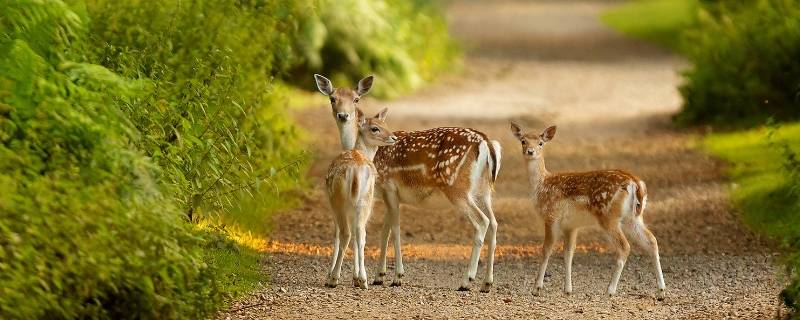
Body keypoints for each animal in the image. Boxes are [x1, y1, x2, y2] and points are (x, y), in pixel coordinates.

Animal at [324, 106, 396, 288]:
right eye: (375, 128)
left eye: (386, 124)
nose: (394, 137)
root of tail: (355, 172)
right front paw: (355, 277)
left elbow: (336, 236)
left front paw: (333, 276)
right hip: (365, 201)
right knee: (360, 234)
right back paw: (363, 280)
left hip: (339, 201)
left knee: (346, 233)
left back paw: (334, 278)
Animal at [510, 120, 664, 298]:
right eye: (523, 141)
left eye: (541, 143)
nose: (530, 151)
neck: (541, 186)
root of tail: (635, 183)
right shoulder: (571, 226)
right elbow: (568, 253)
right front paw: (568, 289)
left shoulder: (551, 216)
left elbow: (546, 250)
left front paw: (536, 287)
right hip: (634, 218)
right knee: (652, 241)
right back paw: (661, 290)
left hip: (608, 216)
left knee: (624, 247)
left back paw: (610, 290)